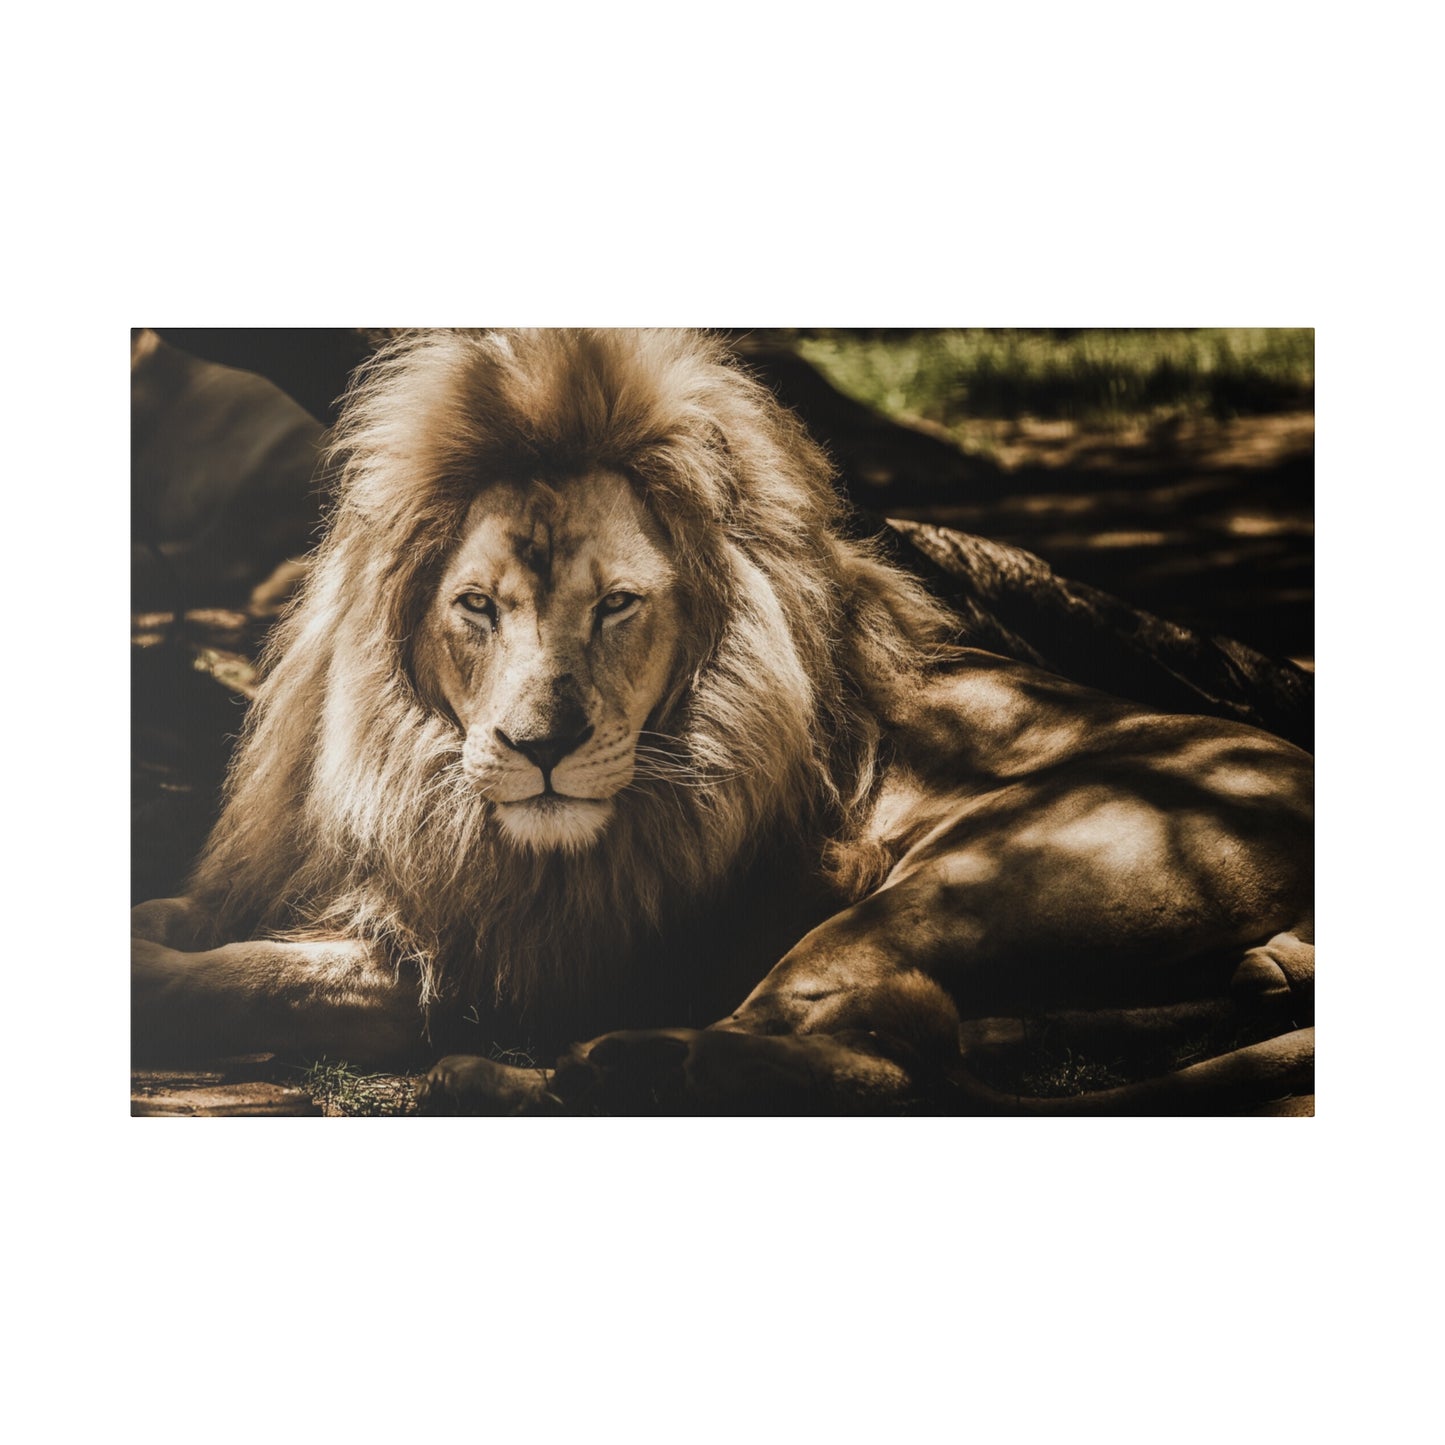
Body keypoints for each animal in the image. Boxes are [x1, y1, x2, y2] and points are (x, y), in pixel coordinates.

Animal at [130, 330, 1317, 1115]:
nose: (541, 748)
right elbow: (172, 921)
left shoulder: (491, 961)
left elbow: (234, 980)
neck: (413, 775)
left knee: (870, 1054)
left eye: (617, 604)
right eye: (477, 606)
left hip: (974, 875)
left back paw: (570, 1069)